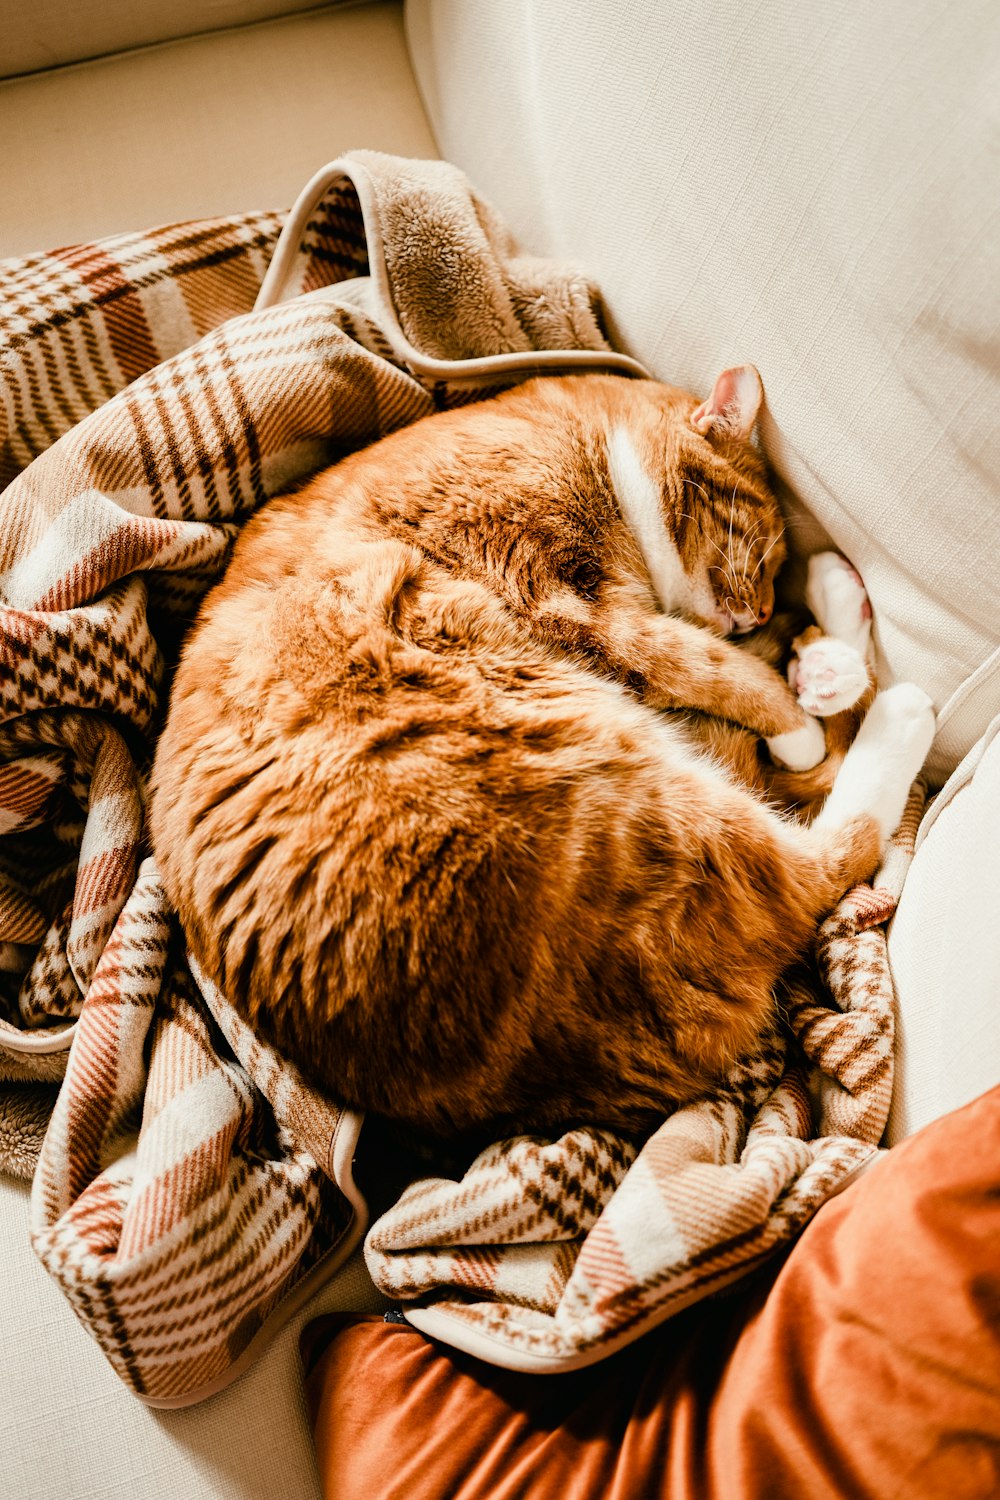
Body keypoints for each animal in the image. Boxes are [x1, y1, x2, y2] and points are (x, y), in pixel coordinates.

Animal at [150, 372, 941, 1134]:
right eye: (768, 546)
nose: (765, 609)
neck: (584, 444)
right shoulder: (570, 601)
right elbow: (718, 668)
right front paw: (790, 705)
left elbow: (727, 668)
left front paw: (805, 659)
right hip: (621, 775)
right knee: (820, 856)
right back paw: (888, 699)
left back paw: (837, 630)